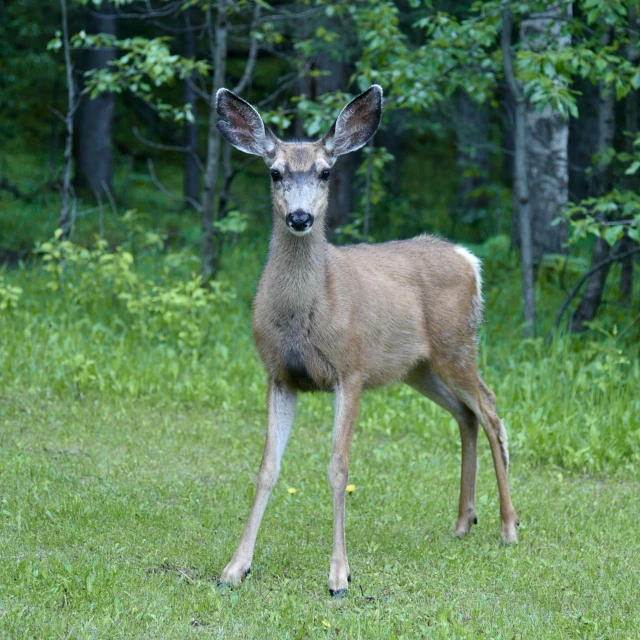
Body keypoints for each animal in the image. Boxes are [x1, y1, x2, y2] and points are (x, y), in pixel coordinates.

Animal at [218, 84, 516, 596]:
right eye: (275, 172)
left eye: (325, 171)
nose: (300, 217)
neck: (307, 312)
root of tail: (469, 260)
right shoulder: (279, 374)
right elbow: (266, 469)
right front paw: (236, 568)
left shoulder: (350, 368)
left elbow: (338, 467)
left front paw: (339, 575)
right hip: (418, 367)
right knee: (466, 415)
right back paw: (463, 521)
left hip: (457, 345)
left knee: (492, 411)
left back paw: (508, 527)